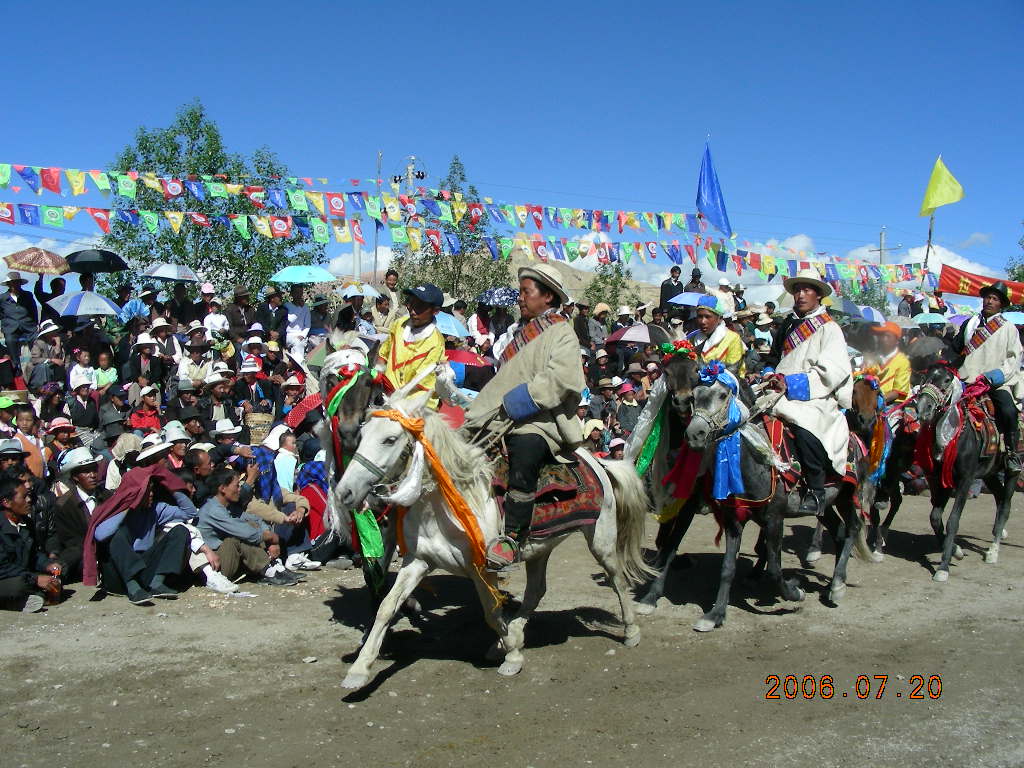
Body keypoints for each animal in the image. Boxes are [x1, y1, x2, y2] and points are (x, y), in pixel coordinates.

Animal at [331, 387, 651, 688]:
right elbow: (386, 607)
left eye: (389, 439)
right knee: (536, 591)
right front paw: (359, 669)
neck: (446, 502)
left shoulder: (480, 568)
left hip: (601, 539)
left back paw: (631, 631)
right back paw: (514, 635)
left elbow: (491, 611)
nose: (344, 492)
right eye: (362, 435)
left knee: (617, 578)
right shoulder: (418, 561)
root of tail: (598, 462)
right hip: (539, 547)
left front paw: (512, 656)